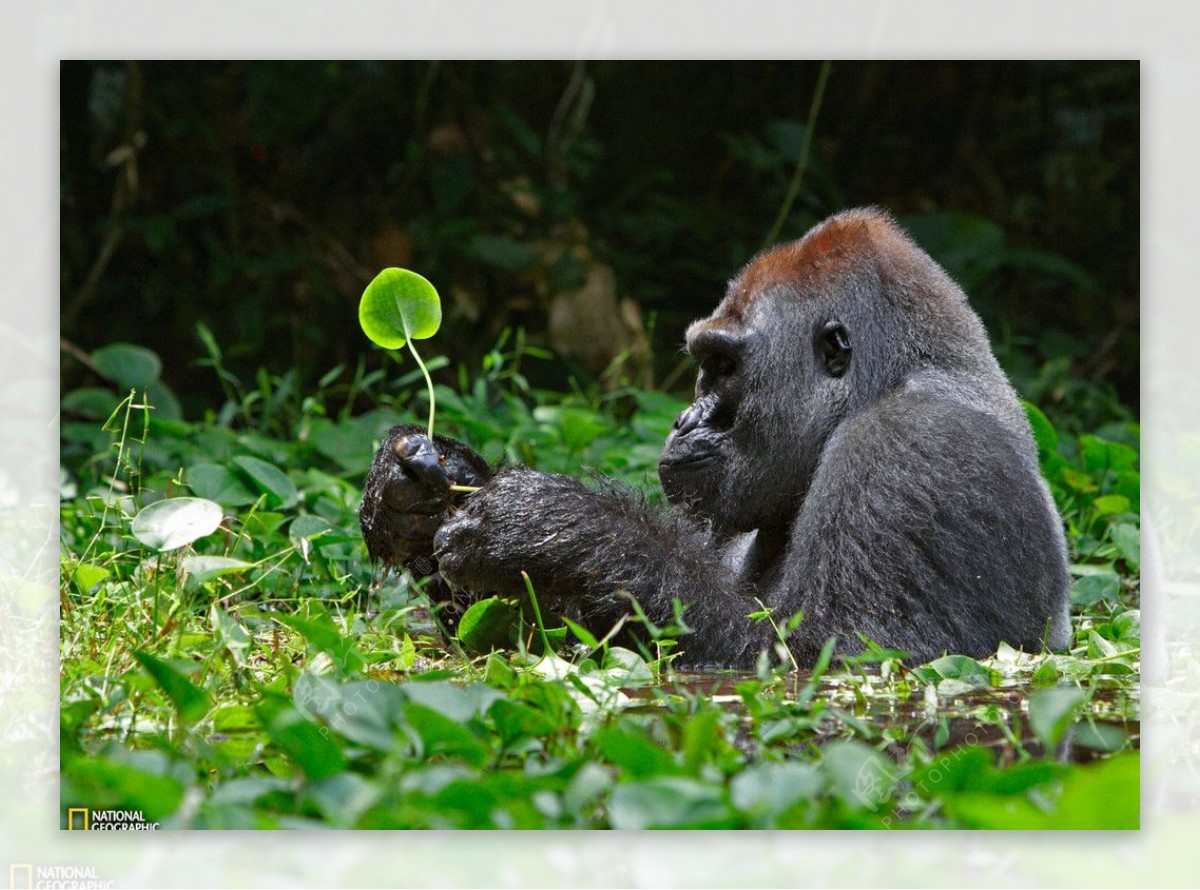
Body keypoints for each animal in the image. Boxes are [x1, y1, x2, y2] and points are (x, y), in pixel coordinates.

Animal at [355, 208, 1070, 671]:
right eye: (705, 364)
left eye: (724, 367)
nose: (683, 419)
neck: (888, 380)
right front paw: (418, 493)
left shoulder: (912, 448)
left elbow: (830, 655)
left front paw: (554, 528)